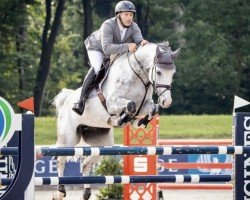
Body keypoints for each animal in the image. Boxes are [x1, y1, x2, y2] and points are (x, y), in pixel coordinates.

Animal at [53, 41, 180, 199]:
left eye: (173, 73)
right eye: (159, 72)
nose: (166, 101)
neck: (137, 76)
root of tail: (66, 99)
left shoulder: (145, 105)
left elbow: (152, 108)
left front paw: (142, 121)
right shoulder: (112, 103)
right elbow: (130, 105)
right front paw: (121, 119)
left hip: (101, 143)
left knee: (86, 163)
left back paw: (86, 192)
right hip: (69, 138)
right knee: (61, 160)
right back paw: (60, 191)